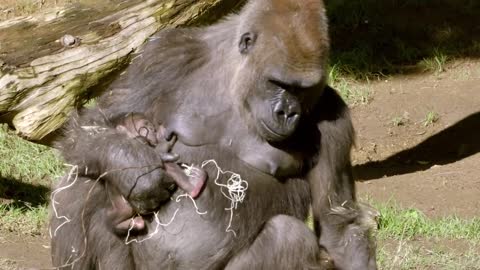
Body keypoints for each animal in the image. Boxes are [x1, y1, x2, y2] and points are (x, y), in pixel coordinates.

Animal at [50, 0, 376, 268]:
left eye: (303, 89)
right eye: (278, 83)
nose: (288, 112)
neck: (236, 80)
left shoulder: (333, 117)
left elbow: (338, 226)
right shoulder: (165, 53)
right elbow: (97, 122)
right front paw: (136, 169)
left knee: (288, 237)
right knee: (82, 180)